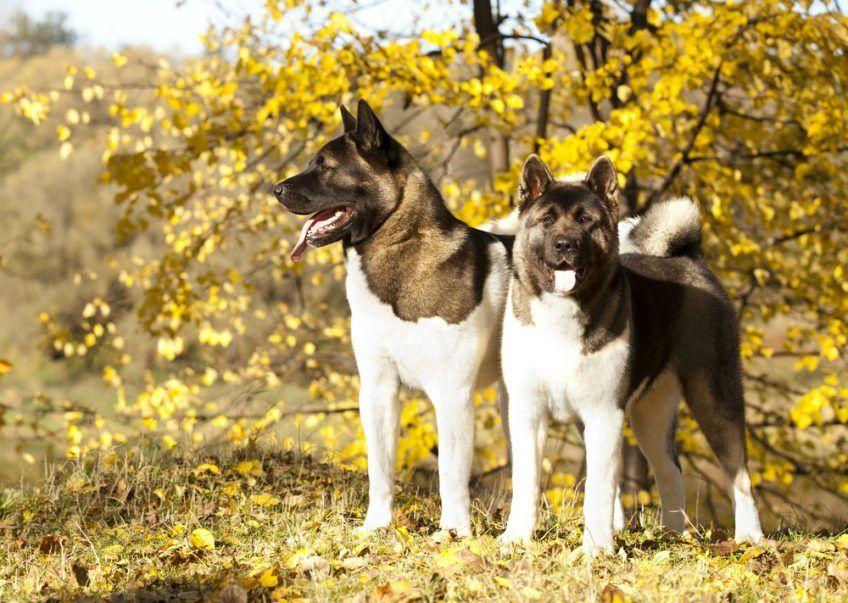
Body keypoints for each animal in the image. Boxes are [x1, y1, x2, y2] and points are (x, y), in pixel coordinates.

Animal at [274, 100, 510, 536]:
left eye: (326, 165)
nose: (276, 189)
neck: (399, 244)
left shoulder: (452, 395)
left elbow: (452, 473)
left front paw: (453, 533)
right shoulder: (378, 390)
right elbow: (380, 468)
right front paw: (376, 526)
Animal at [500, 157, 764, 556]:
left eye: (585, 220)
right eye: (546, 219)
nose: (565, 244)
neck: (562, 313)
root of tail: (689, 258)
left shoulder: (603, 414)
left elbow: (598, 490)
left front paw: (596, 549)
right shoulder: (528, 411)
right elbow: (526, 481)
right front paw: (516, 538)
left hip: (714, 395)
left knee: (739, 475)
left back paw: (751, 539)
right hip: (649, 413)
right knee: (671, 472)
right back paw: (672, 537)